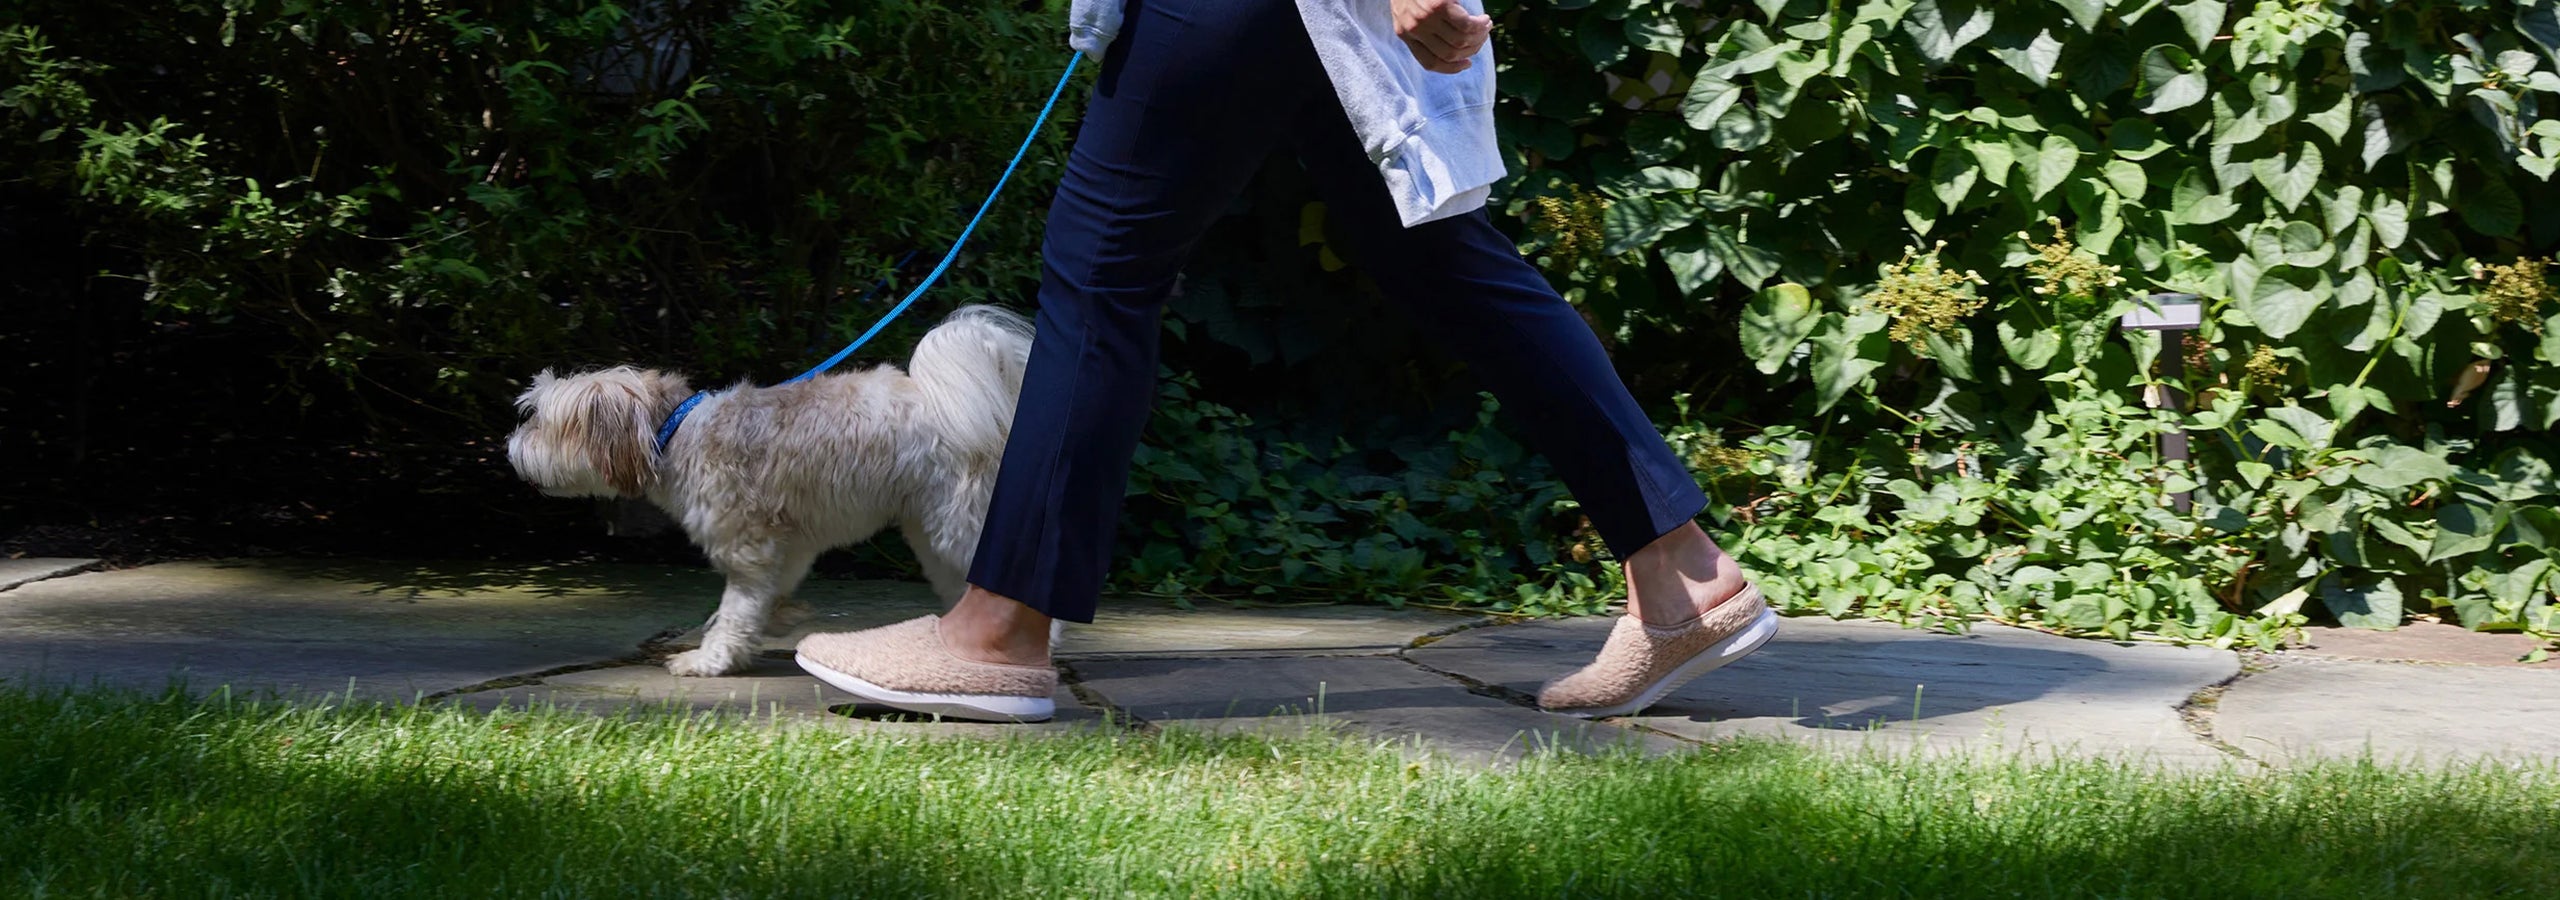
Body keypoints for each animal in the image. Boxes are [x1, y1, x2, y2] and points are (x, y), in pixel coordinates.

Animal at [509, 305, 1029, 669]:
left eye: (540, 421)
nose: (511, 447)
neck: (675, 432)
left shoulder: (746, 546)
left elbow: (737, 609)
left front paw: (710, 659)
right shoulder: (788, 544)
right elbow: (768, 594)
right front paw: (777, 620)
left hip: (960, 527)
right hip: (931, 530)